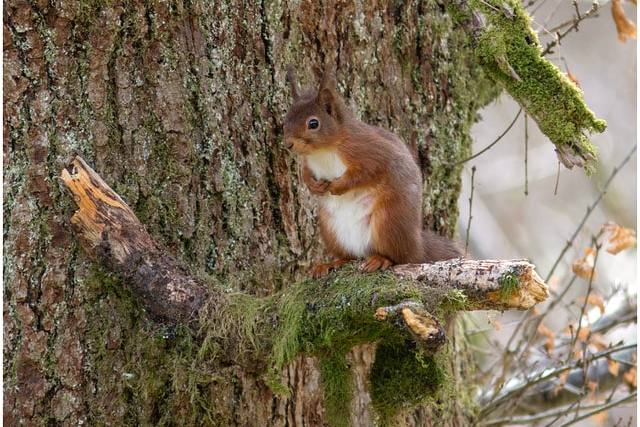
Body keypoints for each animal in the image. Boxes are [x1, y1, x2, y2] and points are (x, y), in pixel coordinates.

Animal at [283, 67, 462, 278]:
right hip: (330, 229)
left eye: (313, 123)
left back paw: (381, 259)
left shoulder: (369, 150)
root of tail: (417, 246)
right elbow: (305, 174)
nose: (288, 144)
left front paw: (338, 186)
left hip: (388, 221)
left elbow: (367, 171)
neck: (323, 150)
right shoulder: (308, 163)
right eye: (286, 119)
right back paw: (332, 263)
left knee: (400, 257)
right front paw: (314, 186)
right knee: (350, 256)